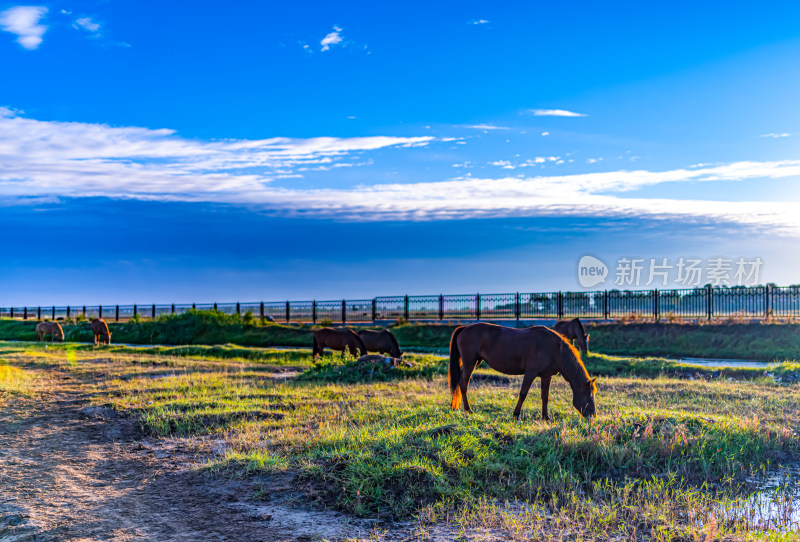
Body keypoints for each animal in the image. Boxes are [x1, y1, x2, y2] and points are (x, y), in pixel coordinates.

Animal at [446, 326, 596, 422]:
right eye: (589, 398)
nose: (593, 417)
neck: (555, 350)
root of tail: (464, 328)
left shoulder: (546, 376)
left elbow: (545, 397)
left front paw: (546, 417)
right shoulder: (530, 373)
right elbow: (523, 393)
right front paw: (516, 415)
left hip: (475, 361)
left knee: (459, 381)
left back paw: (455, 406)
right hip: (470, 362)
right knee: (463, 383)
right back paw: (468, 409)